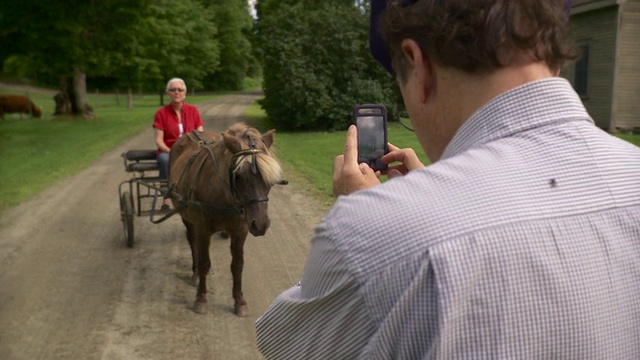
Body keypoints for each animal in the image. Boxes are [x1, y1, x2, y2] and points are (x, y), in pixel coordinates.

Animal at [168, 124, 282, 316]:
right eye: (239, 176)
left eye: (270, 180)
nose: (261, 224)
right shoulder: (203, 229)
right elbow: (205, 262)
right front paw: (201, 299)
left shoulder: (241, 231)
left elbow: (237, 265)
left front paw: (239, 301)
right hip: (186, 216)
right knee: (192, 242)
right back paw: (195, 273)